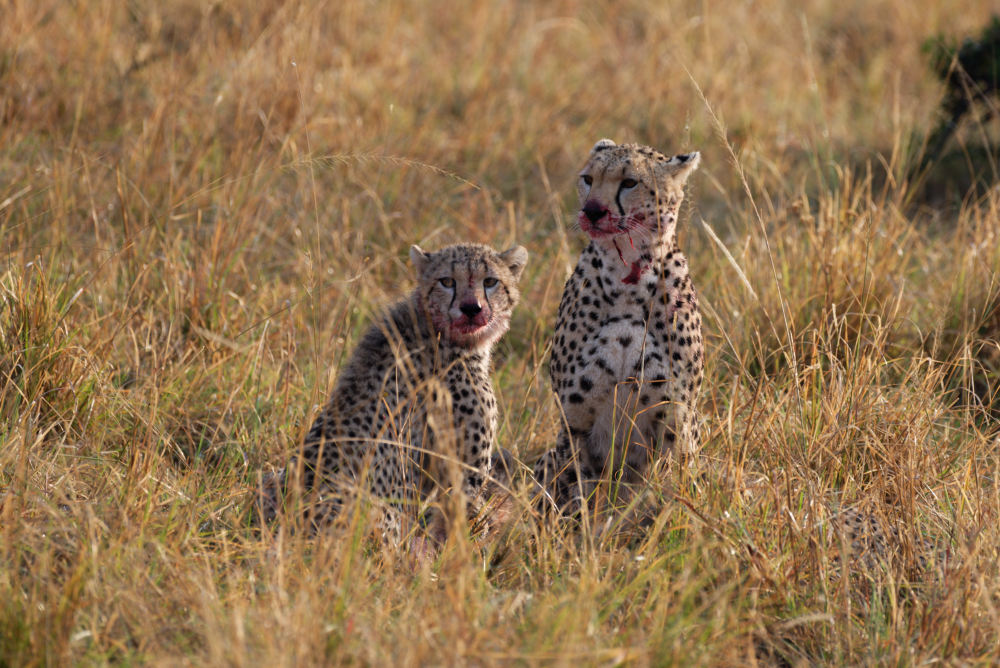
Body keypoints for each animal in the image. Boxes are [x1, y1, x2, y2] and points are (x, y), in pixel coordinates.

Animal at [262, 243, 532, 544]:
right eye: (447, 281)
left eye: (490, 281)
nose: (471, 308)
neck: (435, 328)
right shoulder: (463, 478)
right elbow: (464, 531)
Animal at [536, 140, 708, 516]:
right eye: (588, 179)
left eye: (629, 182)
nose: (592, 211)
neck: (627, 276)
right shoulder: (574, 421)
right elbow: (580, 495)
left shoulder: (676, 421)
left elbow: (669, 495)